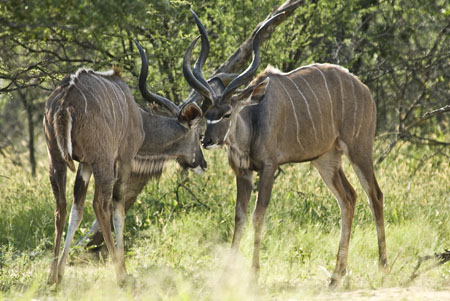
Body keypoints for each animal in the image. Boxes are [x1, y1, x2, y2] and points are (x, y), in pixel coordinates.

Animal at [44, 41, 207, 284]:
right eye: (198, 135)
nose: (202, 164)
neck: (138, 116)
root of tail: (65, 103)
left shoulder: (84, 164)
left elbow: (77, 210)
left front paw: (61, 273)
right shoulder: (124, 158)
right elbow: (118, 209)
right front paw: (122, 268)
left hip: (56, 159)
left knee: (61, 206)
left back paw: (51, 277)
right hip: (102, 163)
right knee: (101, 204)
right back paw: (120, 275)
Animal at [183, 11, 386, 284]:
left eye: (227, 114)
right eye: (207, 114)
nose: (207, 140)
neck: (254, 119)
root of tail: (365, 89)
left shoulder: (269, 167)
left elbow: (258, 215)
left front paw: (254, 273)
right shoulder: (243, 172)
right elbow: (239, 216)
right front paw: (228, 274)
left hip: (359, 149)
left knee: (375, 194)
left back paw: (382, 268)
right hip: (326, 159)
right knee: (348, 198)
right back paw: (336, 275)